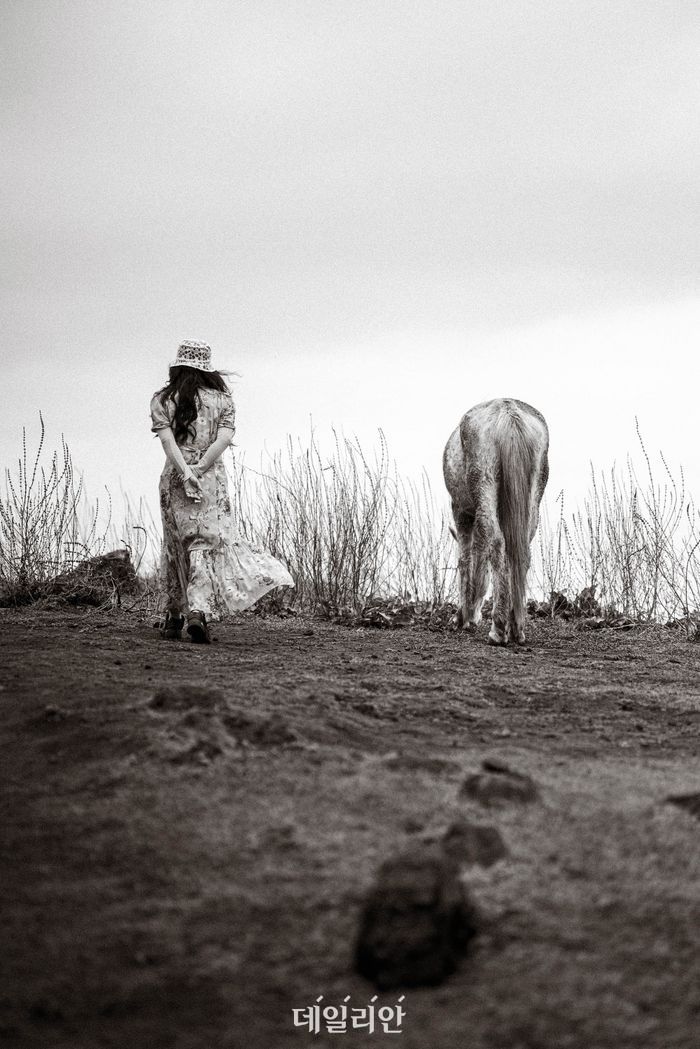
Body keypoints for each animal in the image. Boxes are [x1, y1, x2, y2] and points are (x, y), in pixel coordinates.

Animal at [447, 396, 549, 641]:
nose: (474, 617)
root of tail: (508, 413)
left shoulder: (460, 511)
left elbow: (465, 561)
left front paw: (461, 617)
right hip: (532, 499)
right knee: (520, 553)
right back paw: (516, 629)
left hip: (484, 486)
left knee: (498, 545)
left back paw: (498, 629)